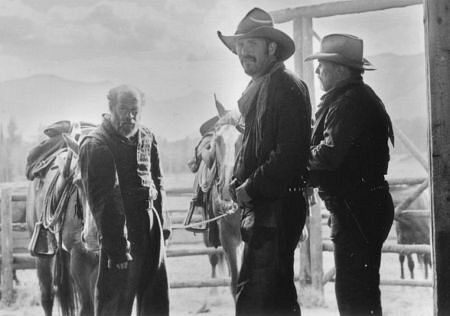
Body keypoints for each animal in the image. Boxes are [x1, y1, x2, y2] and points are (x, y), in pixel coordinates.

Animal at [25, 123, 98, 316]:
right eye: (78, 181)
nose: (92, 237)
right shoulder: (80, 259)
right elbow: (87, 307)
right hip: (43, 258)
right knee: (47, 296)